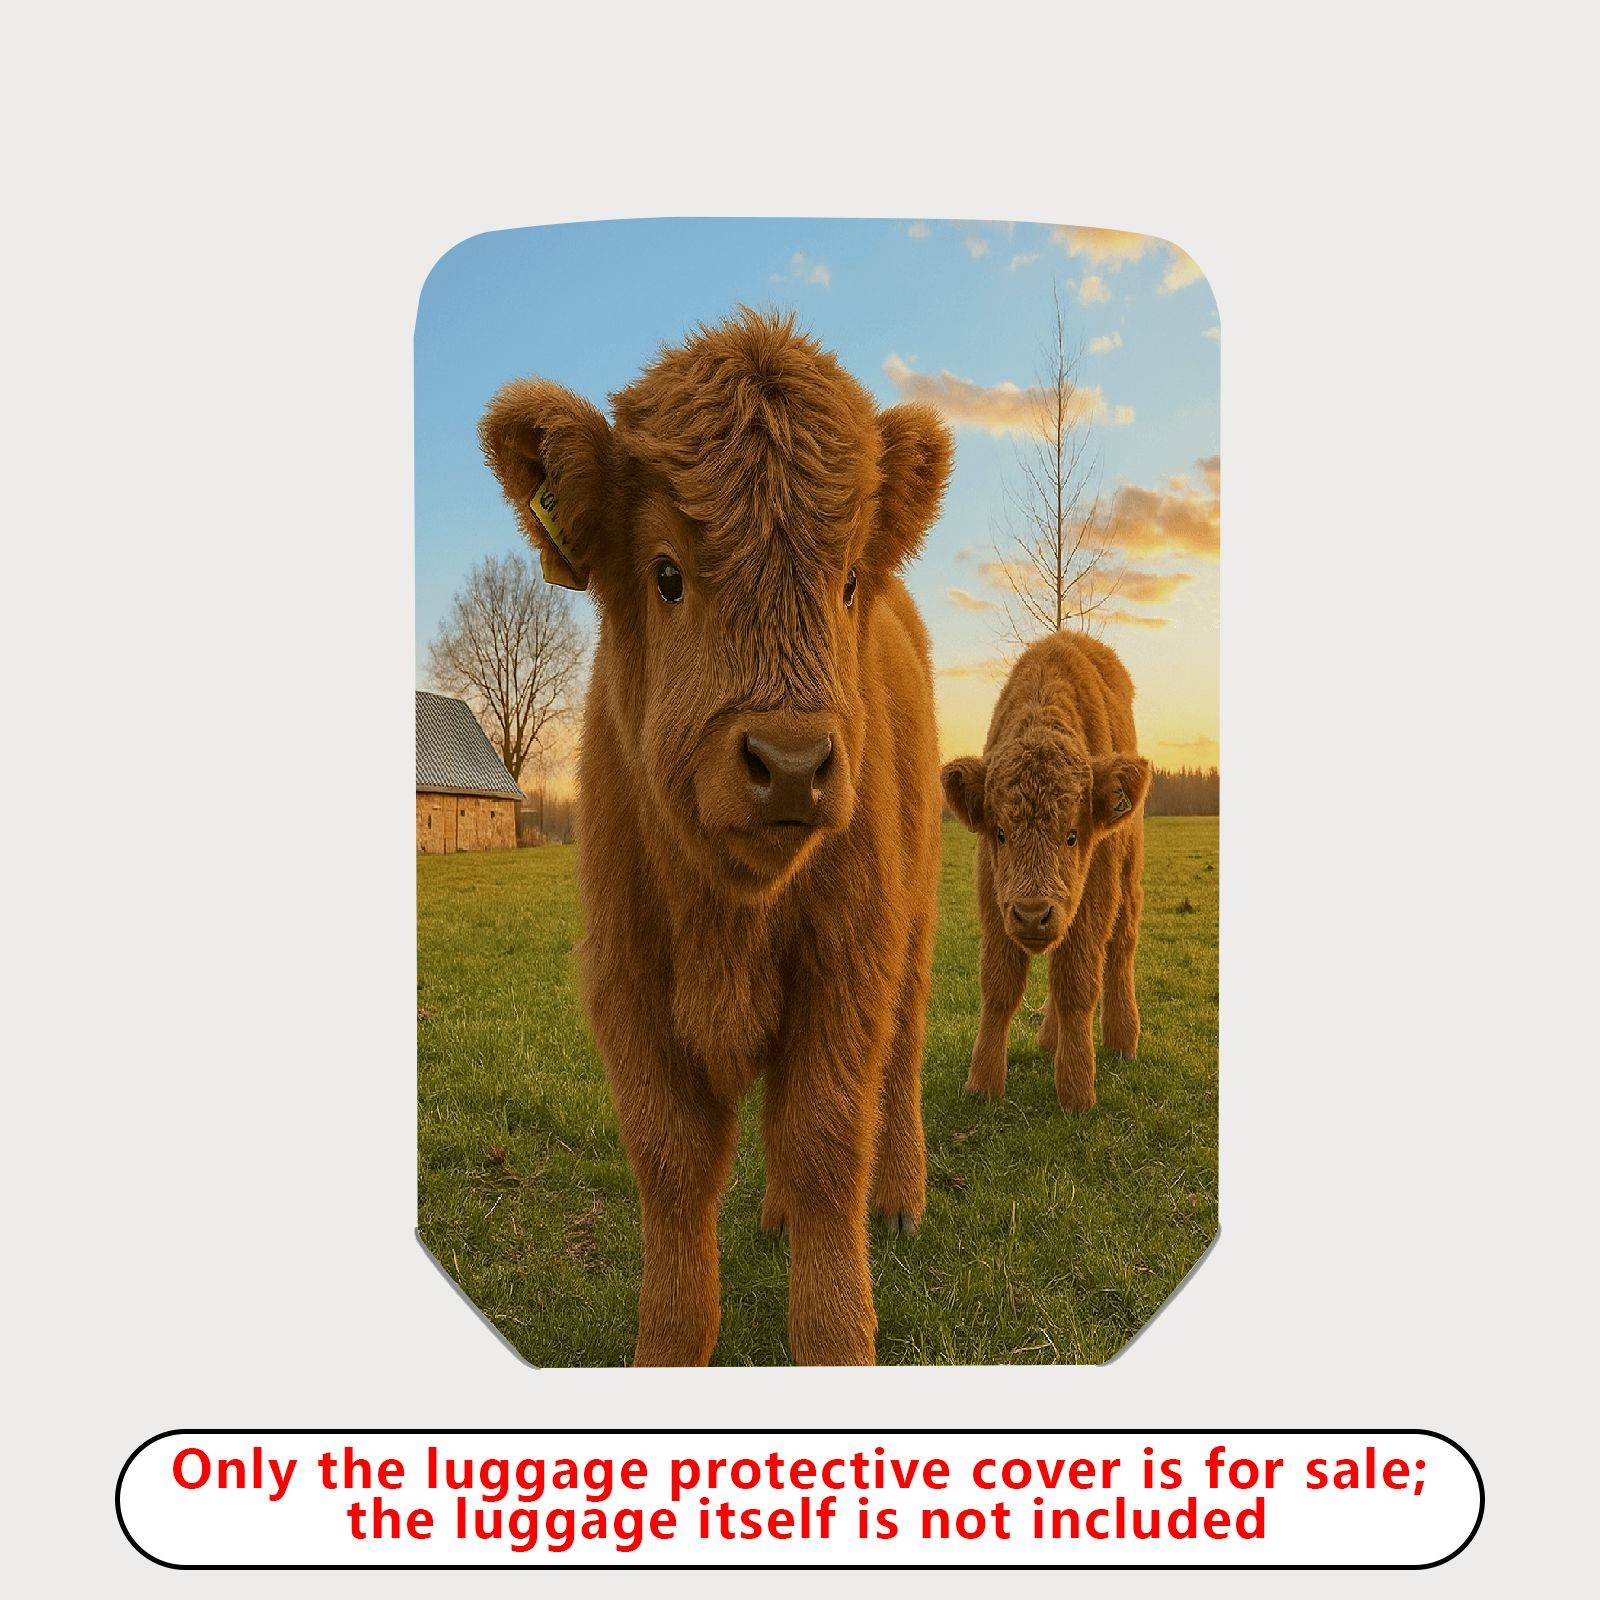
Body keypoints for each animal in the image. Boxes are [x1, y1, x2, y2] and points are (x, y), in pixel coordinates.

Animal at [479, 310, 952, 1366]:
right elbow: (675, 1172)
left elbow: (828, 1149)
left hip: (915, 918)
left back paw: (902, 1201)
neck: (731, 914)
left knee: (899, 1060)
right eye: (666, 575)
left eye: (845, 579)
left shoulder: (846, 966)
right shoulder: (629, 986)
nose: (791, 761)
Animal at [940, 631, 1152, 1113]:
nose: (1034, 914)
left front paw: (1076, 1092)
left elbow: (1077, 982)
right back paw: (1049, 1038)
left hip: (1127, 872)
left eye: (1072, 835)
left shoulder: (1092, 898)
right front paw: (982, 1083)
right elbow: (999, 984)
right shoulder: (996, 901)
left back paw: (1122, 1040)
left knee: (1121, 946)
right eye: (1000, 832)